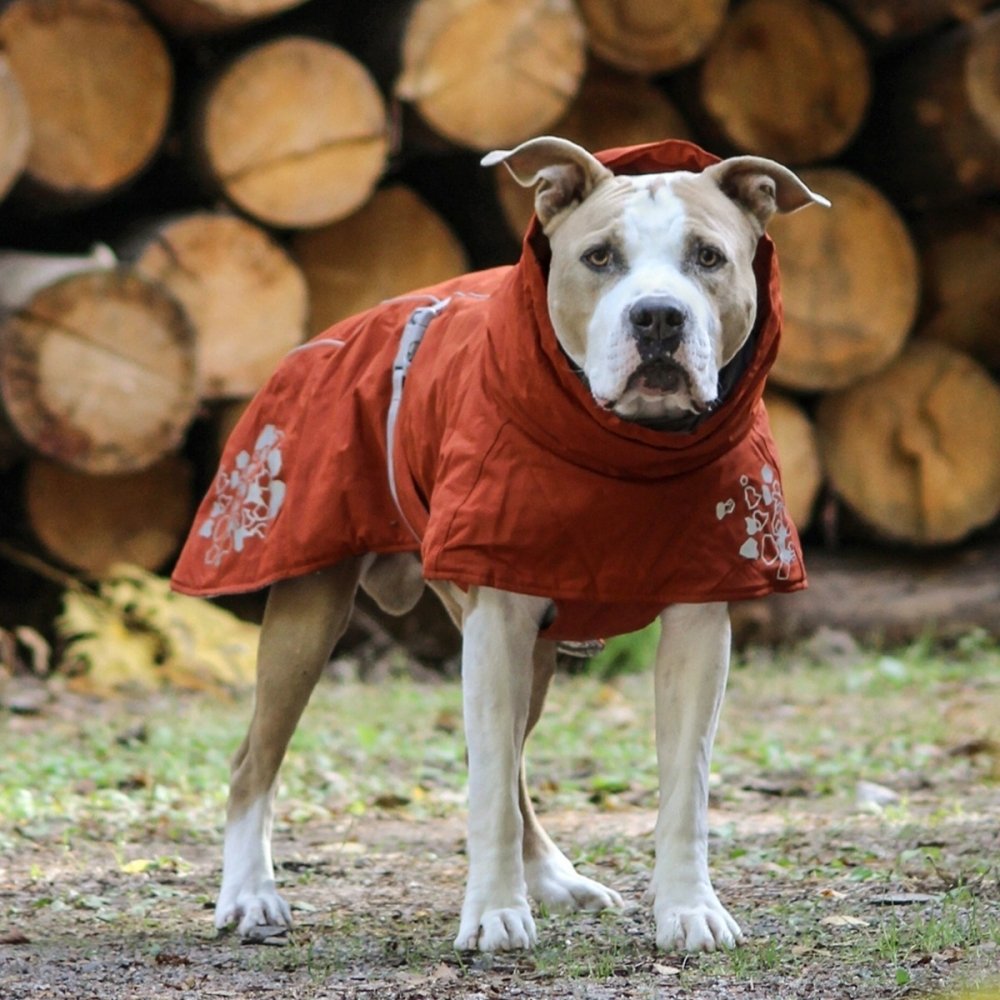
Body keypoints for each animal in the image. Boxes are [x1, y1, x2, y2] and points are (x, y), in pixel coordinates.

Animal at [170, 135, 828, 952]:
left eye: (709, 257)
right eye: (599, 257)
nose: (657, 318)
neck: (629, 455)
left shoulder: (699, 621)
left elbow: (686, 785)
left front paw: (687, 909)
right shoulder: (497, 619)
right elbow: (486, 788)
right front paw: (492, 912)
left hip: (528, 651)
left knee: (511, 761)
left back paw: (554, 879)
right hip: (310, 613)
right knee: (254, 758)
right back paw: (250, 896)